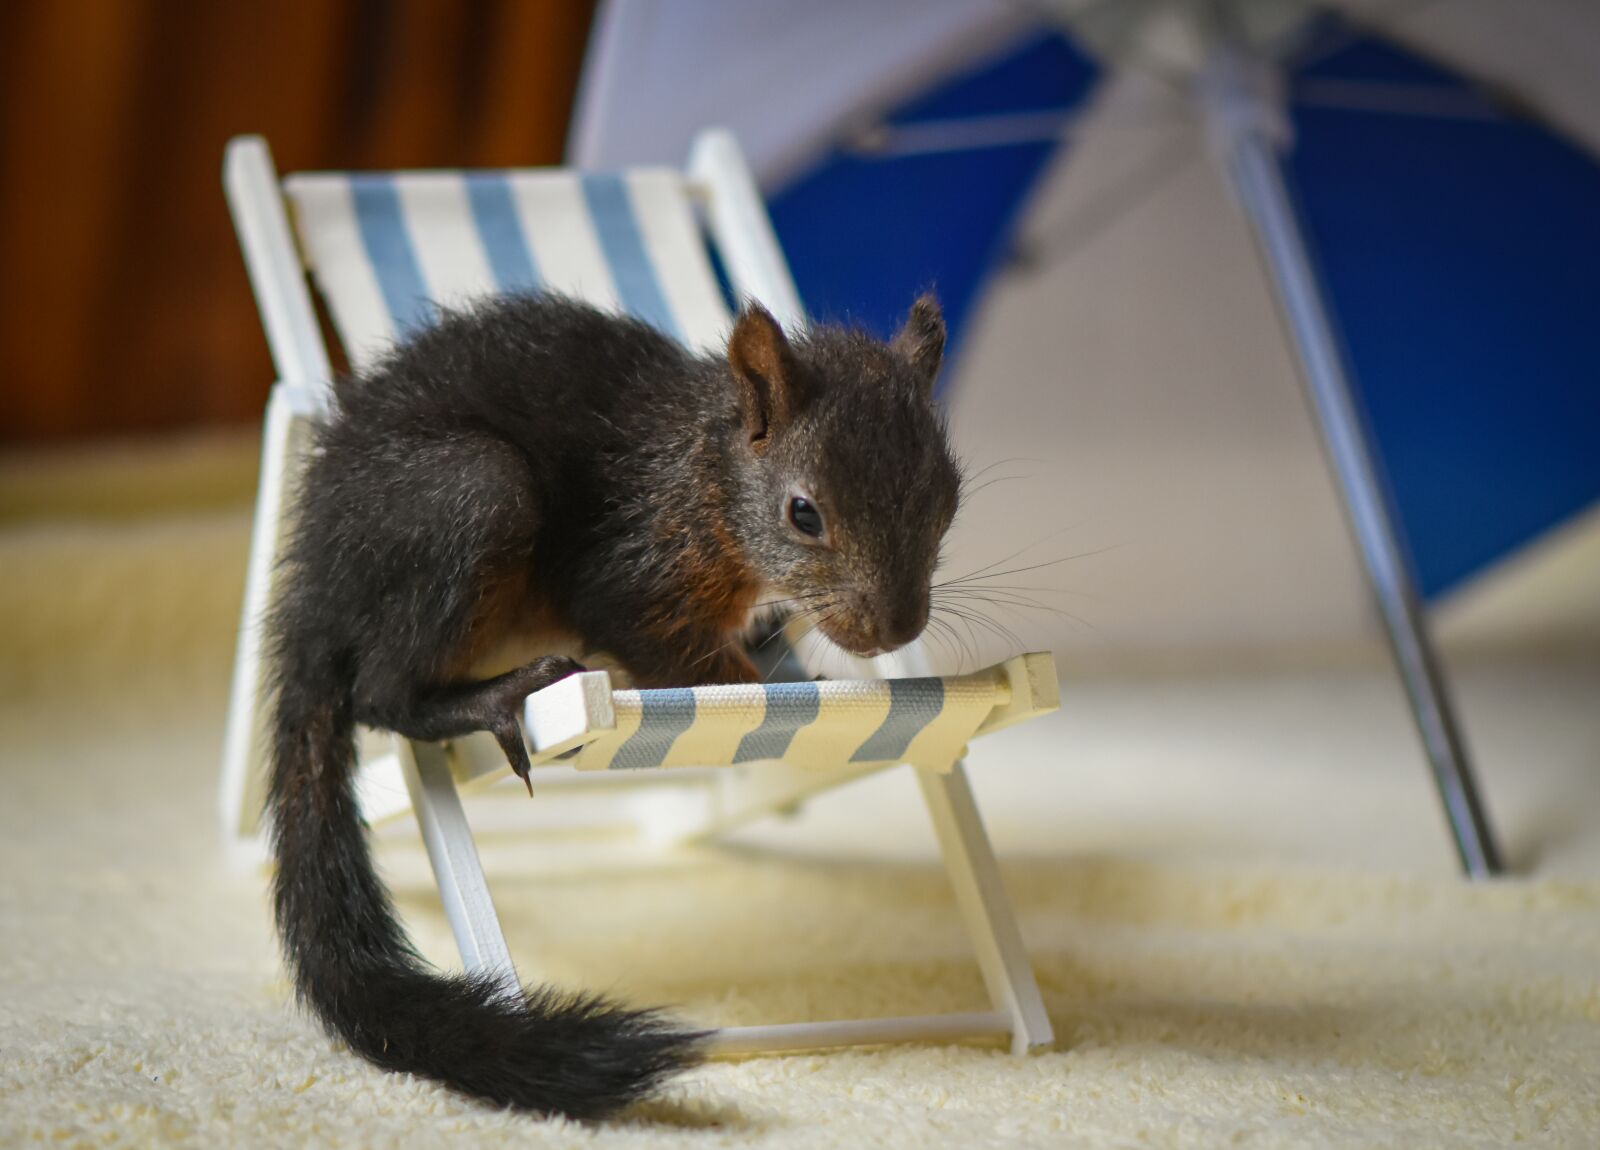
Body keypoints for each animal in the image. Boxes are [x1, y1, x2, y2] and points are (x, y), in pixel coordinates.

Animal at [265, 290, 962, 1119]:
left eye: (948, 499)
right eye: (803, 513)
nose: (897, 631)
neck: (706, 473)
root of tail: (314, 589)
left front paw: (789, 656)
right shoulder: (630, 563)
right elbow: (683, 654)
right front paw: (795, 684)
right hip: (471, 496)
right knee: (380, 692)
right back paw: (494, 696)